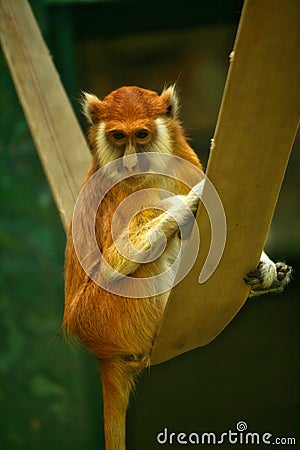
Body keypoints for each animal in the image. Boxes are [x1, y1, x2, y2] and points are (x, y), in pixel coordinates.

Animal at [62, 85, 290, 450]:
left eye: (141, 135)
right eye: (117, 136)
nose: (131, 161)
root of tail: (103, 353)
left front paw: (266, 269)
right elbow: (108, 269)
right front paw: (190, 202)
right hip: (111, 316)